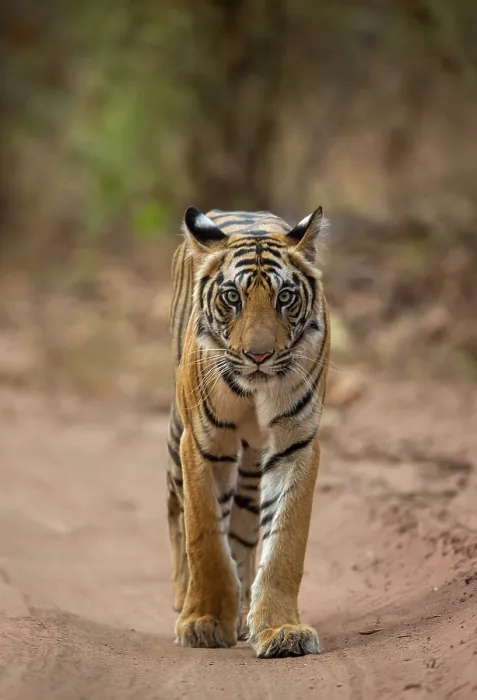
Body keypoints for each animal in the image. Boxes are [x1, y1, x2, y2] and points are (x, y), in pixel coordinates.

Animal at [166, 205, 330, 658]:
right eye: (232, 298)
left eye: (285, 297)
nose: (259, 355)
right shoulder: (202, 445)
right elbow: (204, 534)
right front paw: (203, 622)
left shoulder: (295, 444)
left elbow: (285, 541)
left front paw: (281, 630)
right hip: (176, 438)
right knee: (175, 513)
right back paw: (184, 599)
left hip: (253, 467)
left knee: (241, 531)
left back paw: (241, 613)